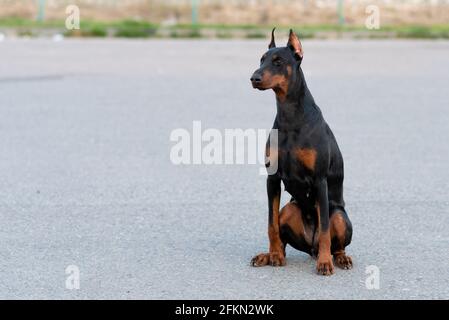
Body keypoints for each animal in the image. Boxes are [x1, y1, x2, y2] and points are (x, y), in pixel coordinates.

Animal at [250, 28, 352, 276]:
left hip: (340, 215)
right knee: (282, 232)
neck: (291, 117)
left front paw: (324, 264)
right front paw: (274, 255)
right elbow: (271, 224)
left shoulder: (319, 180)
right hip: (289, 209)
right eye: (261, 59)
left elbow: (324, 229)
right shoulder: (272, 178)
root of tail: (310, 247)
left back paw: (338, 258)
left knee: (335, 242)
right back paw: (269, 255)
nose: (254, 78)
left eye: (278, 61)